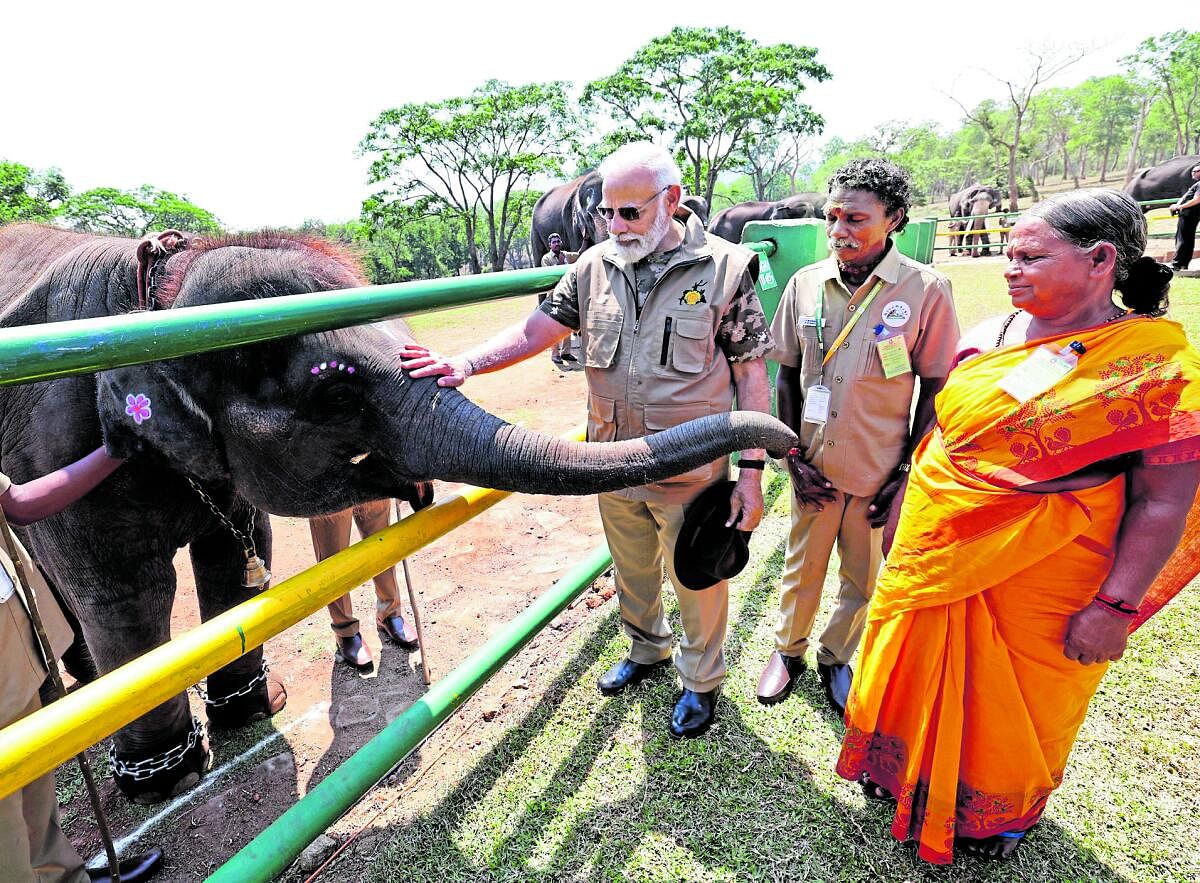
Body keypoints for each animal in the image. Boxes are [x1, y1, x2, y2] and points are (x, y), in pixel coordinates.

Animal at [0, 224, 796, 801]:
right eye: (335, 396)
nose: (785, 439)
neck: (159, 297)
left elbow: (238, 555)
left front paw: (254, 710)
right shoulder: (57, 446)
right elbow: (126, 590)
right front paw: (171, 779)